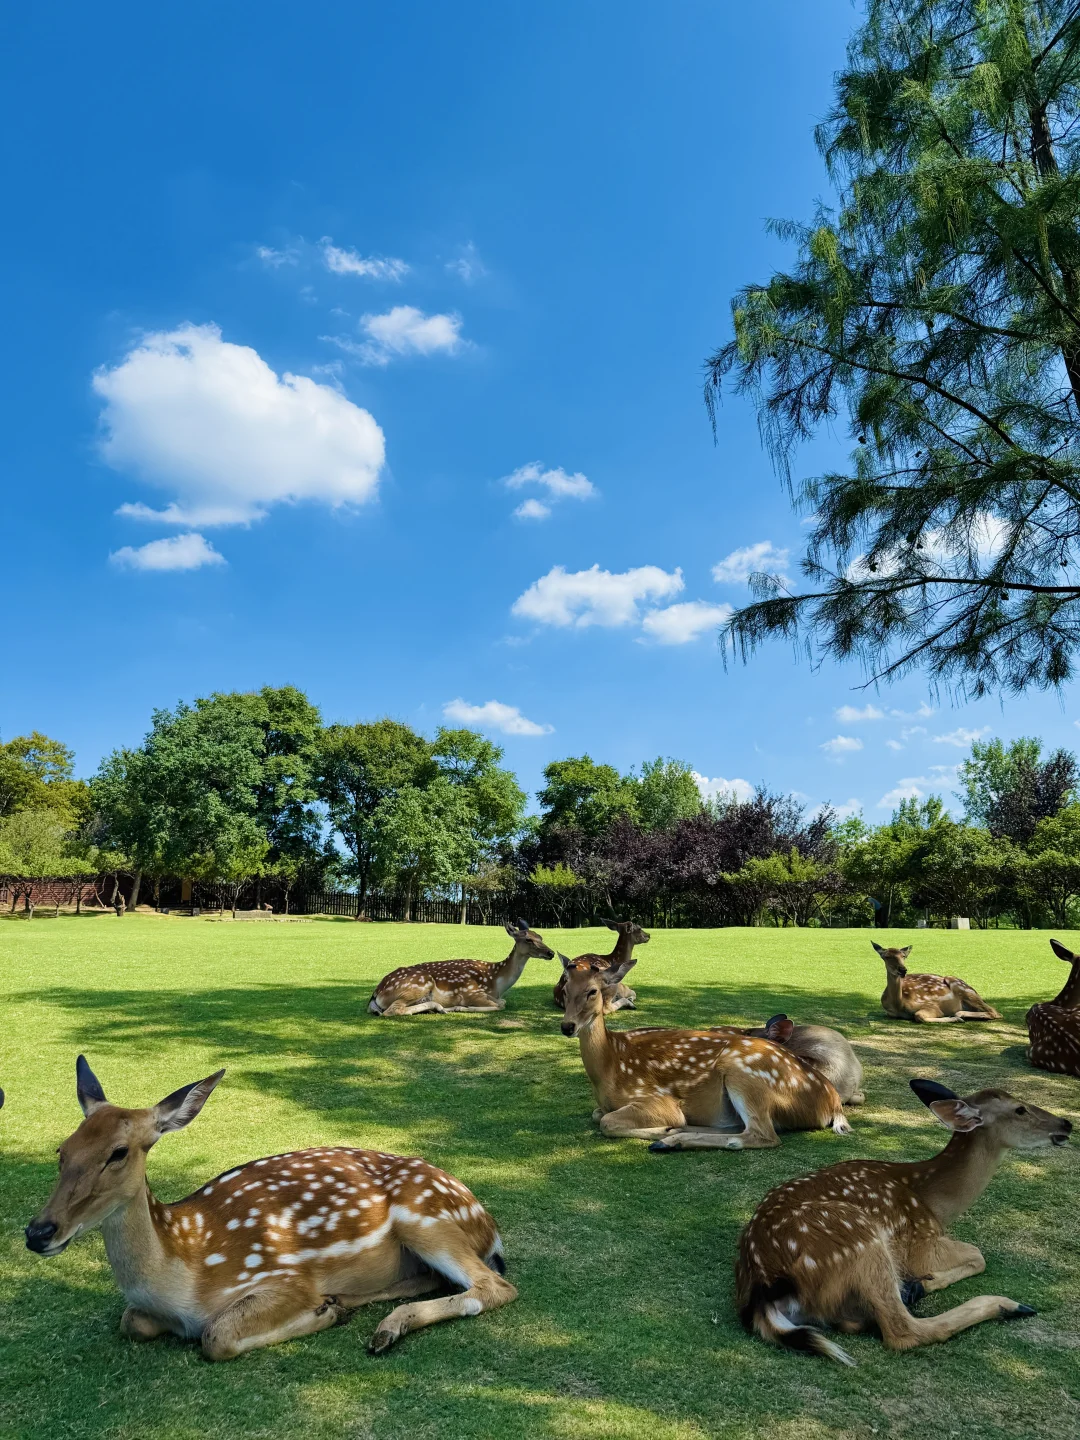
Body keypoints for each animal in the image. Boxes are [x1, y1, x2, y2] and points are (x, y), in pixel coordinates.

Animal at [24, 1057, 516, 1361]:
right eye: (62, 1150)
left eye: (118, 1152)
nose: (38, 1232)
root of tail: (489, 1224)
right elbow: (130, 1321)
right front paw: (329, 1309)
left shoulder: (282, 1277)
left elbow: (216, 1335)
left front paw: (321, 1313)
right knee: (435, 1278)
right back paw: (349, 1305)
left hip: (426, 1217)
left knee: (494, 1286)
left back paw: (379, 1325)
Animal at [368, 920, 555, 1016]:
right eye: (528, 939)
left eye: (540, 936)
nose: (551, 952)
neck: (497, 981)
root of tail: (377, 992)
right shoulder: (472, 992)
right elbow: (500, 1005)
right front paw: (462, 1007)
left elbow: (502, 1002)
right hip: (419, 984)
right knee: (393, 1010)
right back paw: (441, 1007)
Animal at [558, 956, 850, 1150]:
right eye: (564, 989)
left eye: (592, 991)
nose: (567, 1026)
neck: (610, 1065)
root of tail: (833, 1102)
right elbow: (597, 1114)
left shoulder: (655, 1099)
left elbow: (606, 1121)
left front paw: (662, 1128)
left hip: (745, 1074)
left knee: (761, 1135)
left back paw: (670, 1139)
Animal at [736, 1077, 1071, 1364]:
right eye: (1020, 1109)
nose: (1066, 1123)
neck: (934, 1203)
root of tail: (765, 1288)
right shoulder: (921, 1242)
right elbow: (979, 1255)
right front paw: (924, 1282)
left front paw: (924, 1283)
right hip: (860, 1239)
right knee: (903, 1331)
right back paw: (1009, 1305)